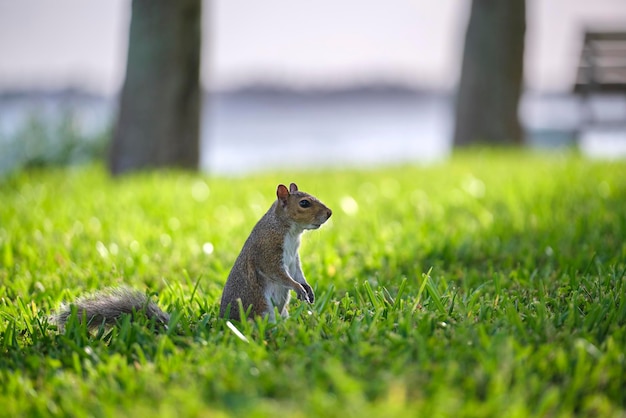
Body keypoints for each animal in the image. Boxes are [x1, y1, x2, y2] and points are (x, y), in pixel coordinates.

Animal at [51, 183, 332, 330]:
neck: (290, 230)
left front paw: (307, 288)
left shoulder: (294, 257)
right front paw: (298, 288)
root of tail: (223, 322)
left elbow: (297, 272)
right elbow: (279, 274)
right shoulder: (268, 250)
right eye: (304, 203)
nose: (329, 213)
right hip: (261, 308)